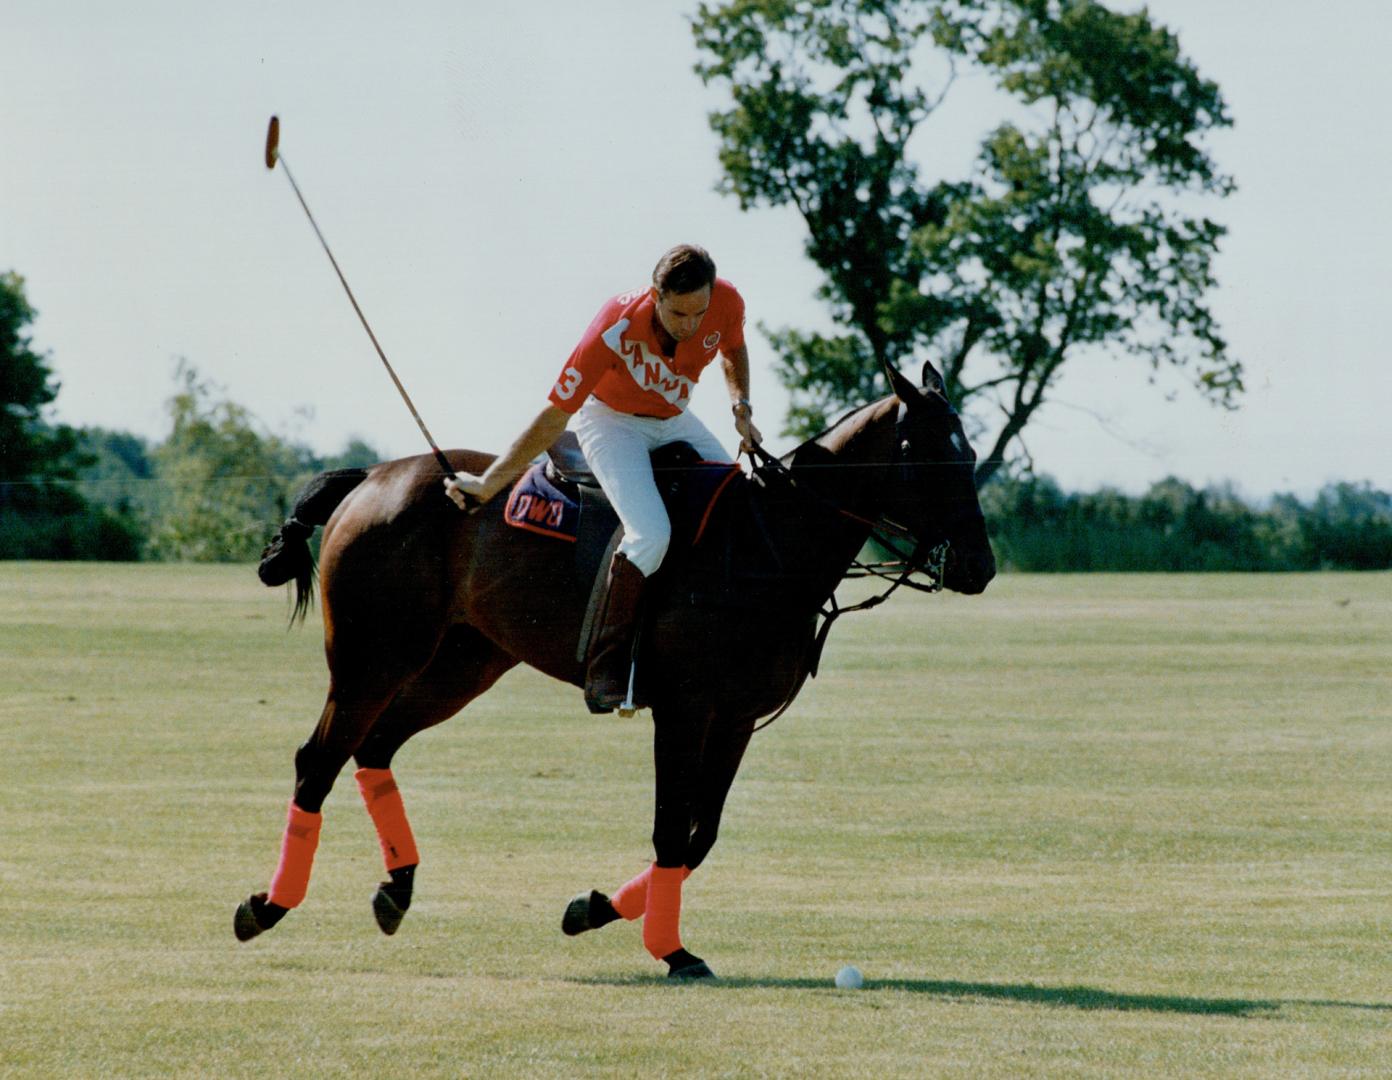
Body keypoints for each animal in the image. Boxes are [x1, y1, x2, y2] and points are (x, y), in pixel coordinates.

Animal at [231, 361, 991, 979]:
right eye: (928, 457)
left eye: (974, 453)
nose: (979, 568)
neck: (767, 544)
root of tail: (372, 476)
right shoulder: (683, 709)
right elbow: (671, 828)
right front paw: (672, 950)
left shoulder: (737, 717)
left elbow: (700, 834)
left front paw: (593, 908)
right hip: (373, 656)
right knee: (319, 758)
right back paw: (267, 906)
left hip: (463, 663)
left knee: (375, 747)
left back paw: (396, 888)